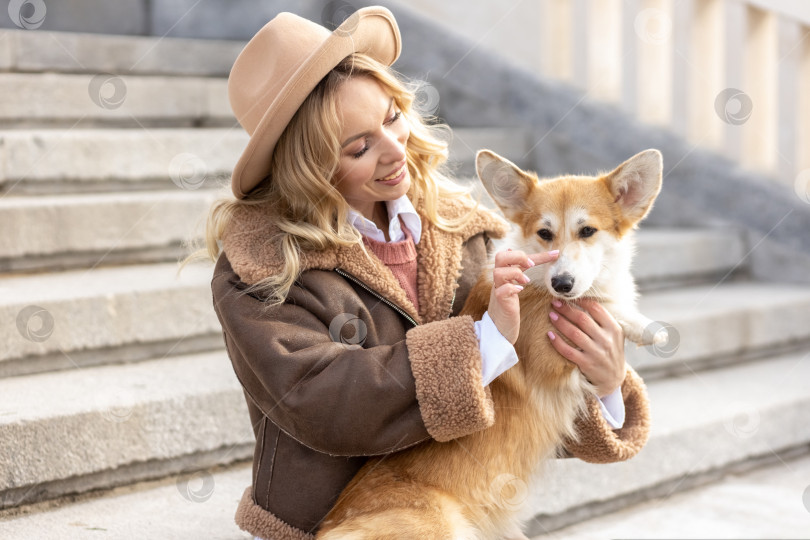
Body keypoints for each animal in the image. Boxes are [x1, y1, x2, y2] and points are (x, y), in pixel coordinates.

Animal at [316, 149, 664, 540]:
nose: (561, 283)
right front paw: (644, 327)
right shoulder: (551, 353)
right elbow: (599, 306)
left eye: (587, 230)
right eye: (545, 233)